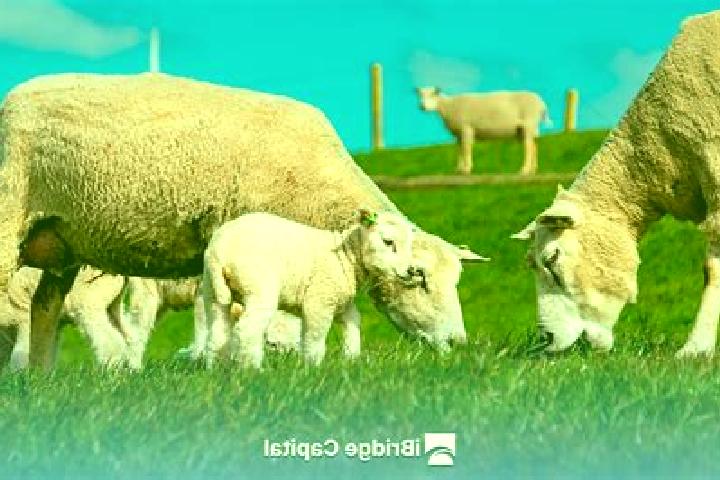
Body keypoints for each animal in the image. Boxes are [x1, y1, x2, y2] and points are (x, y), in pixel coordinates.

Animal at [202, 210, 432, 367]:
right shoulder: (320, 300)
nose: (411, 271)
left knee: (217, 333)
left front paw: (351, 359)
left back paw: (216, 368)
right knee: (247, 330)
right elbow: (315, 339)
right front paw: (313, 368)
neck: (346, 256)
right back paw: (252, 370)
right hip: (259, 287)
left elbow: (353, 322)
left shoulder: (340, 301)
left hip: (213, 291)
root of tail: (220, 250)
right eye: (388, 242)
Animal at [416, 87, 548, 175]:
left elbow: (466, 148)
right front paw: (459, 169)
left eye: (433, 95)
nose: (422, 106)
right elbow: (460, 149)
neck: (449, 106)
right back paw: (533, 170)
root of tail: (541, 104)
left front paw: (467, 169)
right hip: (524, 129)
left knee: (528, 147)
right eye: (420, 95)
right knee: (534, 146)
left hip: (529, 123)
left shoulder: (466, 128)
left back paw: (524, 170)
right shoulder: (459, 133)